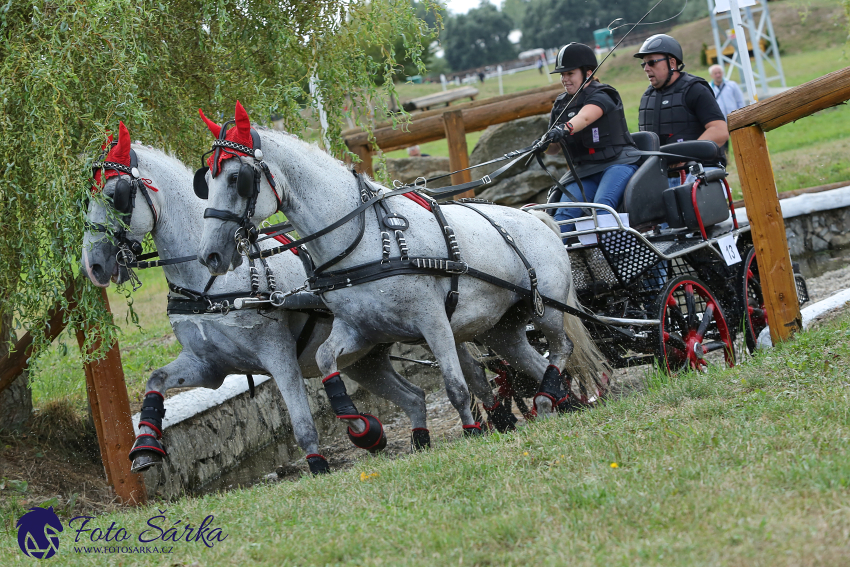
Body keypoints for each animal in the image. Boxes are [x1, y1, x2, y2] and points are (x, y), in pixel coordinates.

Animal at [80, 123, 438, 474]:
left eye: (114, 197)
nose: (91, 265)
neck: (209, 286)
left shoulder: (279, 356)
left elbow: (302, 423)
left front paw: (319, 465)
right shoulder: (208, 365)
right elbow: (156, 379)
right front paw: (145, 445)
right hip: (366, 360)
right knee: (413, 395)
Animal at [195, 101, 608, 434]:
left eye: (237, 178)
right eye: (206, 180)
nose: (210, 255)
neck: (366, 238)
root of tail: (538, 218)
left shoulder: (433, 321)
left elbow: (456, 385)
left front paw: (473, 429)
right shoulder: (360, 328)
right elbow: (326, 358)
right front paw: (355, 421)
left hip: (547, 309)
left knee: (562, 347)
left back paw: (549, 398)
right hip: (500, 329)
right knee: (535, 361)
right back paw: (557, 402)